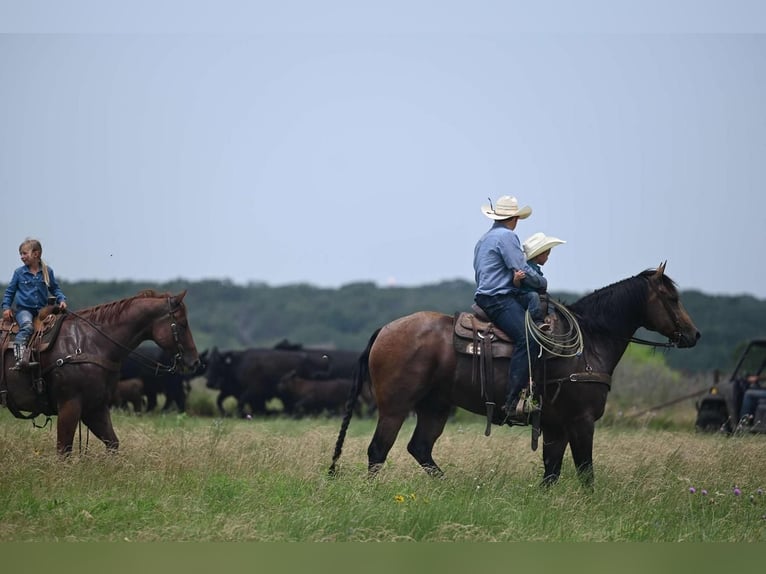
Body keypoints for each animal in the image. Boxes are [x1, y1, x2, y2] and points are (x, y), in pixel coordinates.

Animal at [0, 290, 201, 456]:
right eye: (182, 324)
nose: (195, 362)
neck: (90, 344)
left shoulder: (95, 408)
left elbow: (112, 443)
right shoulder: (69, 406)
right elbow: (64, 451)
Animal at [330, 264, 704, 486]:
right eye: (672, 297)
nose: (694, 334)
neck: (588, 343)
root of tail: (384, 330)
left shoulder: (555, 425)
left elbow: (551, 472)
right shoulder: (582, 421)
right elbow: (585, 472)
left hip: (434, 407)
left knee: (419, 447)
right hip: (395, 408)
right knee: (378, 451)